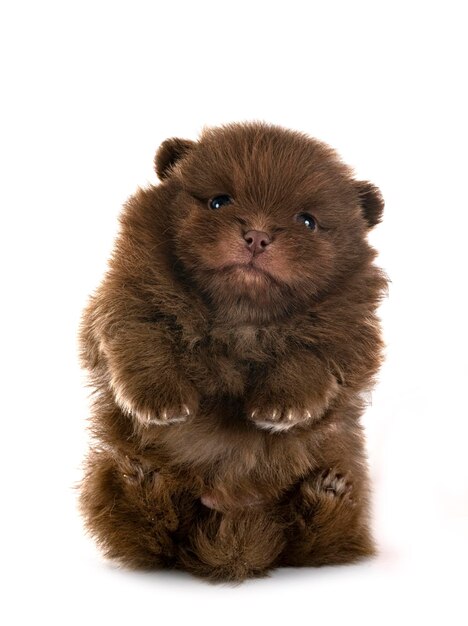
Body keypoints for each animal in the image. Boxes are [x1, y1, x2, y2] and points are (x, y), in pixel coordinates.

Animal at [79, 122, 388, 580]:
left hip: (345, 481)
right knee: (151, 534)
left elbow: (308, 354)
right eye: (219, 201)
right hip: (114, 479)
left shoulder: (347, 331)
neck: (240, 319)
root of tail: (235, 541)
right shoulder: (126, 300)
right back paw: (138, 480)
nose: (257, 236)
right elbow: (143, 340)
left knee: (317, 541)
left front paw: (282, 408)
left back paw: (327, 494)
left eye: (308, 221)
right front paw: (159, 402)